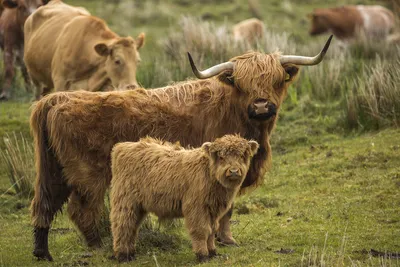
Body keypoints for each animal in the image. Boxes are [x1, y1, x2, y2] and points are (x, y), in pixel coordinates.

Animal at [110, 136, 260, 264]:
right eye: (221, 156)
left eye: (242, 155)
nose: (233, 171)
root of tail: (123, 146)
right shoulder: (197, 207)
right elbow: (201, 230)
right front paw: (203, 256)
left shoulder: (213, 210)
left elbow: (211, 230)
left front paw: (212, 252)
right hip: (126, 201)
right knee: (122, 225)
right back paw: (122, 256)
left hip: (139, 206)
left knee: (132, 228)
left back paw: (131, 254)